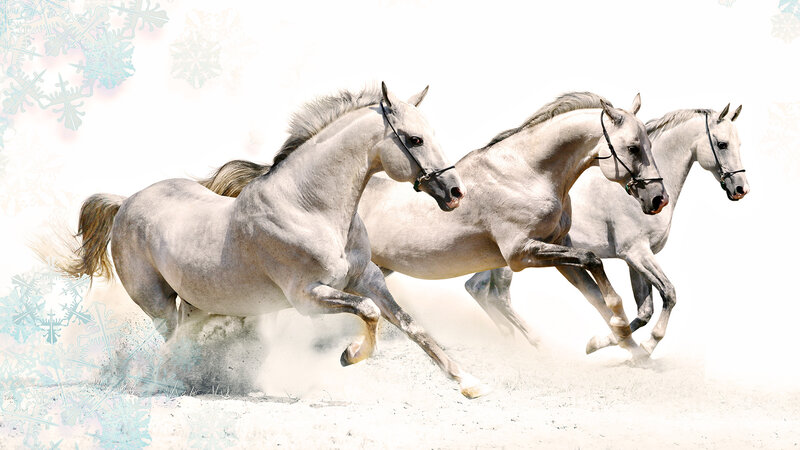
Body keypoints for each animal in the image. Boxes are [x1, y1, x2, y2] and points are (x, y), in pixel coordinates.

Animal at [64, 83, 494, 399]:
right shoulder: (307, 297)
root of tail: (125, 201)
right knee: (173, 341)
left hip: (197, 303)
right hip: (157, 304)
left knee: (184, 338)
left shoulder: (368, 278)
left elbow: (410, 324)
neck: (309, 207)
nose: (455, 192)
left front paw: (469, 383)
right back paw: (169, 381)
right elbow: (370, 312)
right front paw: (349, 356)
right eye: (415, 139)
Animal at [199, 92, 668, 359]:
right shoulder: (521, 253)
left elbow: (596, 288)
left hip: (369, 273)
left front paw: (625, 347)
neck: (528, 172)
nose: (657, 199)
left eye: (647, 144)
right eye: (633, 147)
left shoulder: (554, 250)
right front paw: (621, 332)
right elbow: (595, 264)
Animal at [465, 104, 749, 356]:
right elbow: (668, 293)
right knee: (497, 295)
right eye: (722, 144)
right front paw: (643, 346)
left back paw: (509, 340)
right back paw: (533, 342)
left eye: (739, 144)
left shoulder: (635, 259)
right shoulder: (636, 253)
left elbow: (644, 311)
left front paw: (604, 342)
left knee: (476, 288)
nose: (740, 189)